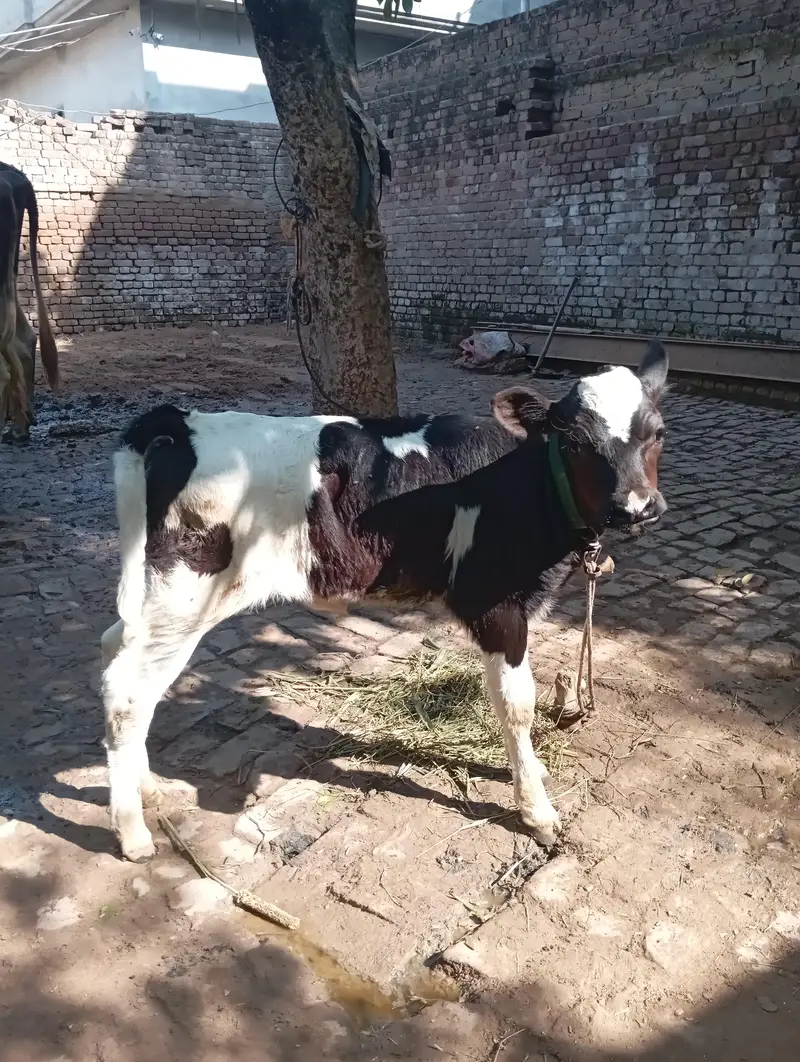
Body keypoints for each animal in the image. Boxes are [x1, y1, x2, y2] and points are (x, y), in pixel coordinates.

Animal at [100, 342, 669, 862]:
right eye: (574, 442)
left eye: (657, 432)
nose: (637, 507)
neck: (526, 482)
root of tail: (179, 421)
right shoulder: (495, 606)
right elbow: (517, 706)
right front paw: (537, 810)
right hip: (183, 599)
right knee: (127, 693)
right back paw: (132, 832)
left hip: (157, 598)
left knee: (119, 655)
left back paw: (146, 786)